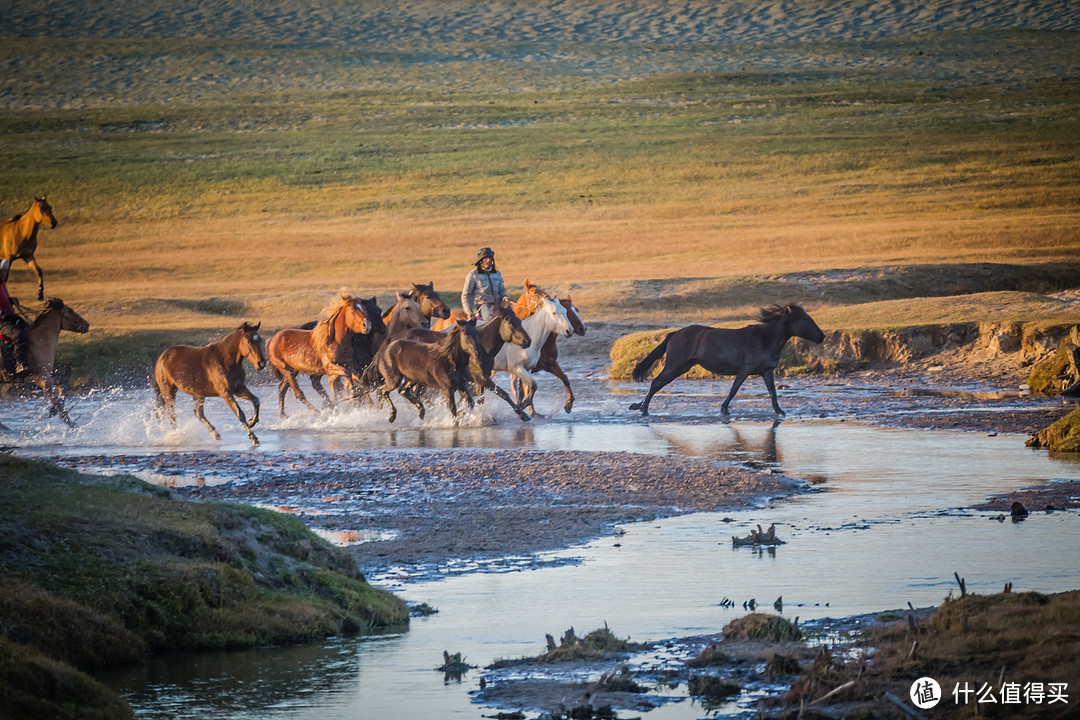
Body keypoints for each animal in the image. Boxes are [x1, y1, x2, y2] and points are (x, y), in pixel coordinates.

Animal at [0, 297, 88, 427]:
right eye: (70, 311)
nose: (87, 325)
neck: (40, 341)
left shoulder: (45, 375)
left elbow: (63, 386)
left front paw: (53, 411)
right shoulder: (42, 378)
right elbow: (56, 401)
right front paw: (70, 422)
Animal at [630, 302, 820, 416]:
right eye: (804, 318)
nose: (822, 336)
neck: (764, 339)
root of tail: (675, 333)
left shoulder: (767, 371)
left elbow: (772, 392)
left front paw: (780, 411)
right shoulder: (745, 369)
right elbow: (734, 389)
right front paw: (724, 409)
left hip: (682, 367)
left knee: (658, 384)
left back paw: (638, 405)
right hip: (674, 366)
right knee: (656, 382)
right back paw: (643, 408)